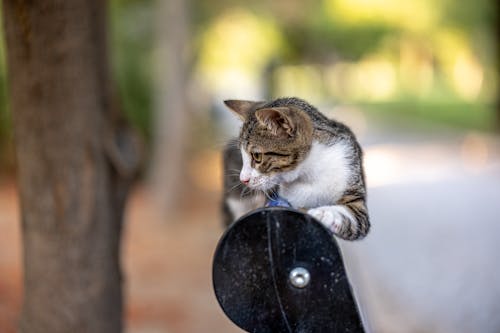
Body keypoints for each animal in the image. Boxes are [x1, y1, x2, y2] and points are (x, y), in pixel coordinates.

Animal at [221, 97, 370, 240]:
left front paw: (324, 213)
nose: (243, 179)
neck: (309, 171)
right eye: (242, 156)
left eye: (257, 156)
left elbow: (356, 218)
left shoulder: (350, 173)